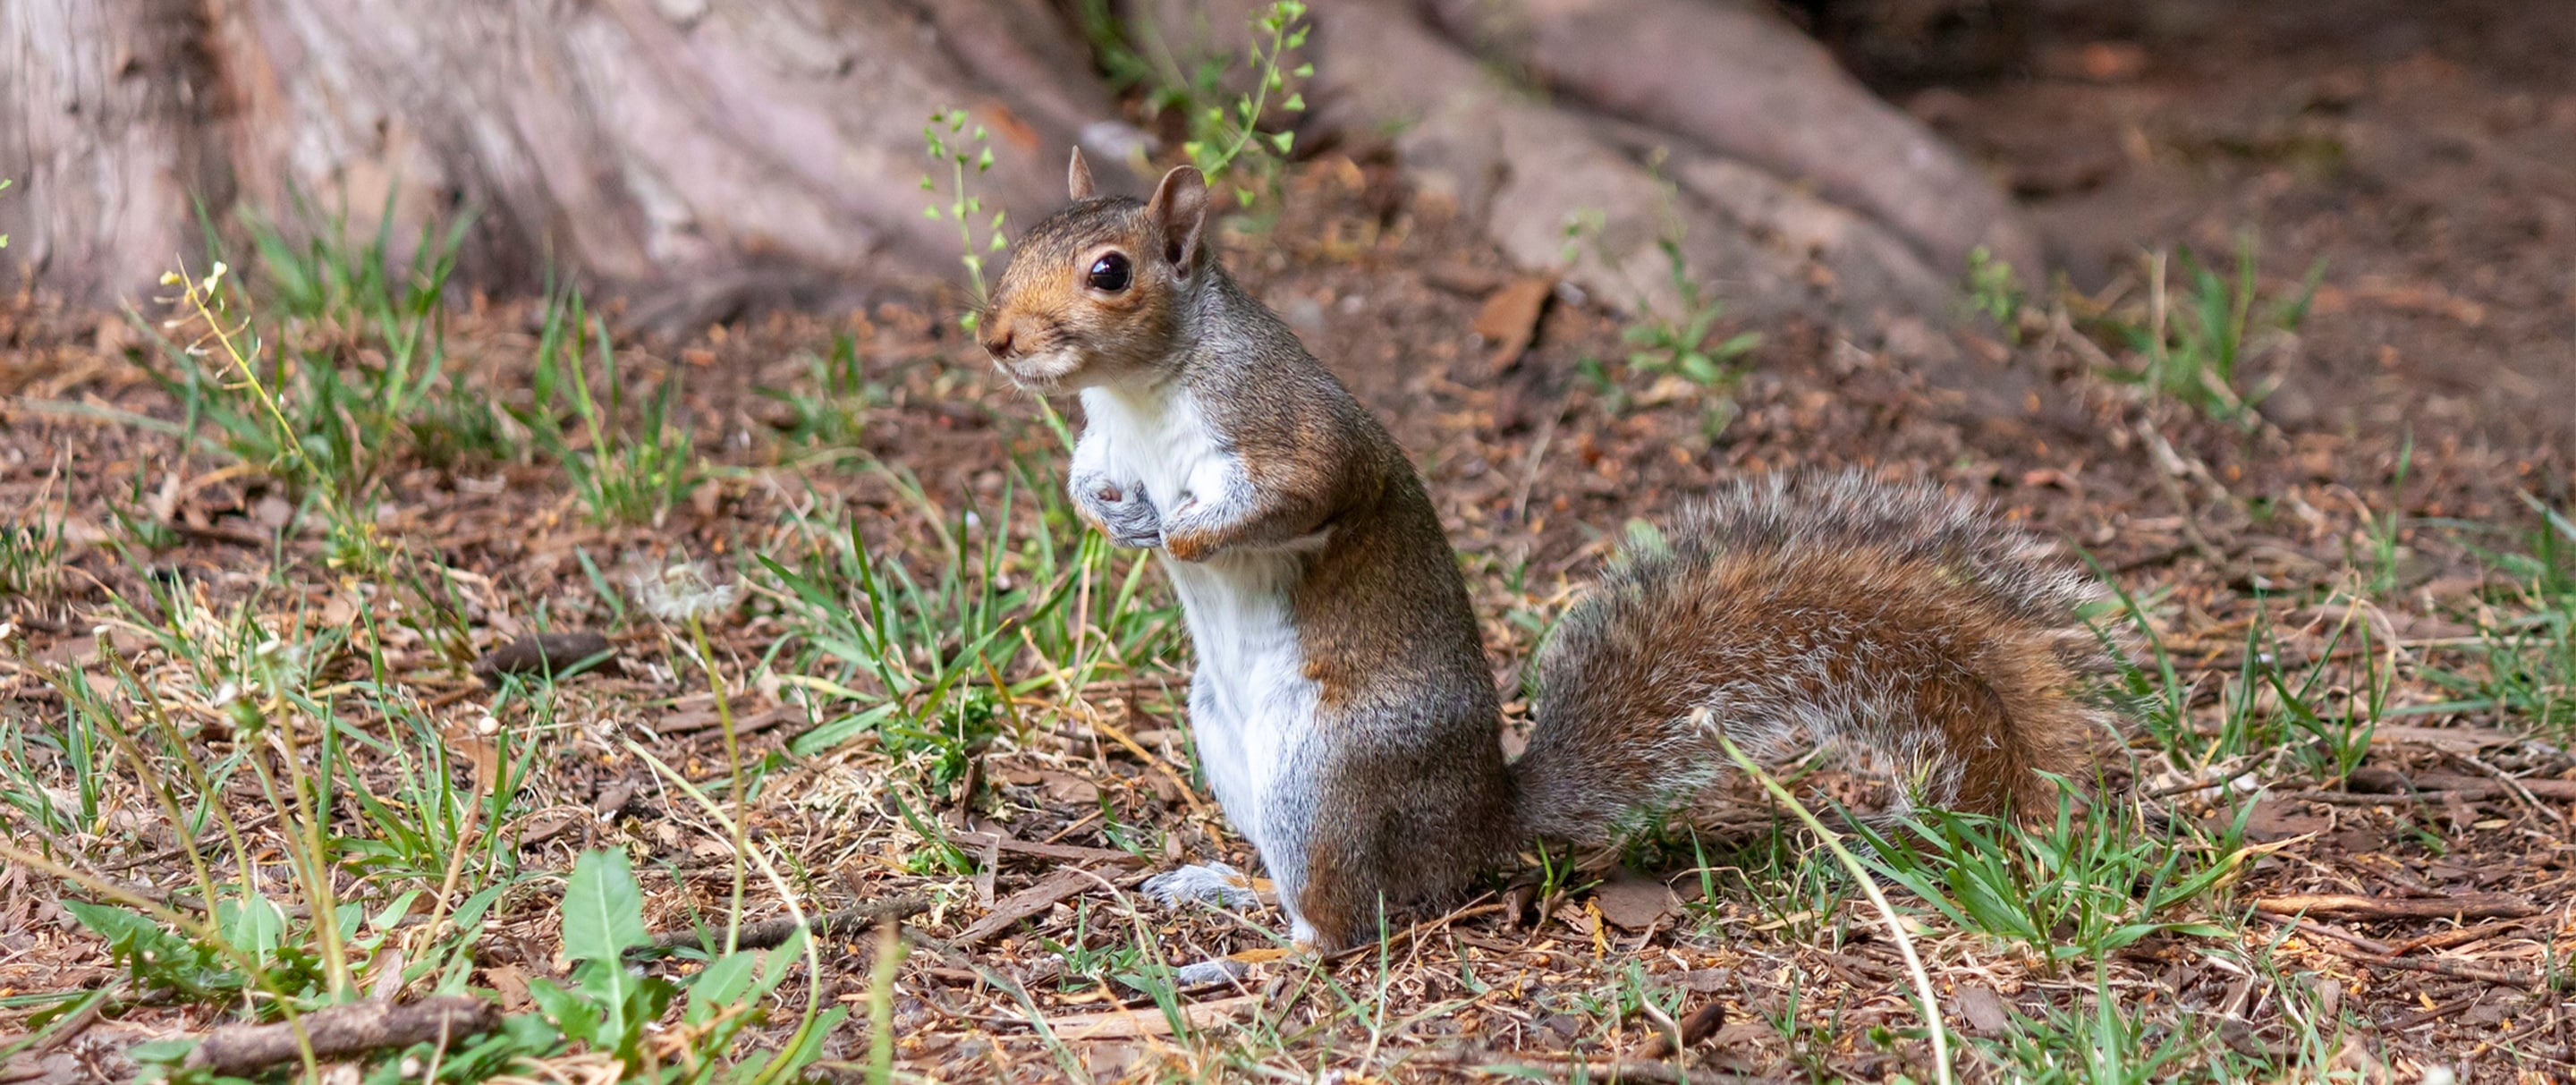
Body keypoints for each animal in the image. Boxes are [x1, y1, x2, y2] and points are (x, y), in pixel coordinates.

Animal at [976, 149, 2125, 951]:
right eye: (1023, 240)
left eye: (1111, 273)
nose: (994, 339)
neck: (1142, 392)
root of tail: (1481, 824)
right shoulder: (1102, 440)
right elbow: (1084, 480)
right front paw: (1113, 519)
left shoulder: (1284, 426)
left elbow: (1302, 495)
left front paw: (1182, 532)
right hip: (1225, 741)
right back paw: (1223, 884)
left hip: (1330, 769)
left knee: (1344, 925)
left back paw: (1253, 955)